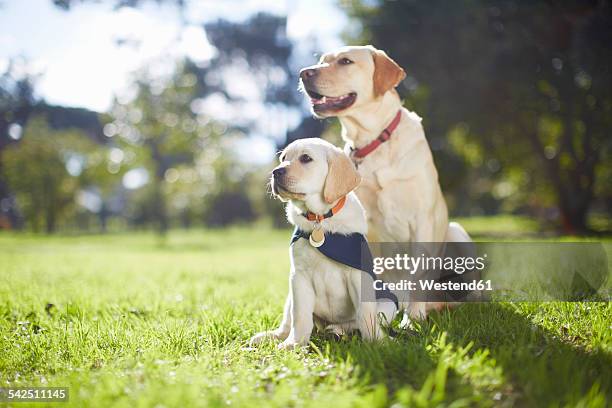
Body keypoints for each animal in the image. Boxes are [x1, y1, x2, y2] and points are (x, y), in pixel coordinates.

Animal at [249, 139, 396, 350]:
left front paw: (378, 342)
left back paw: (337, 330)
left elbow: (365, 314)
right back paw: (273, 336)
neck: (320, 219)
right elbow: (300, 317)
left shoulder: (358, 275)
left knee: (355, 322)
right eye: (283, 158)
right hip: (290, 296)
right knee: (289, 322)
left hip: (388, 303)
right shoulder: (299, 277)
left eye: (305, 158)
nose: (276, 172)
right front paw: (294, 344)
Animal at [298, 45, 470, 318]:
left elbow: (419, 273)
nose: (304, 73)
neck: (374, 141)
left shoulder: (422, 218)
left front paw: (413, 319)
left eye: (345, 61)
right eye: (323, 61)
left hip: (456, 233)